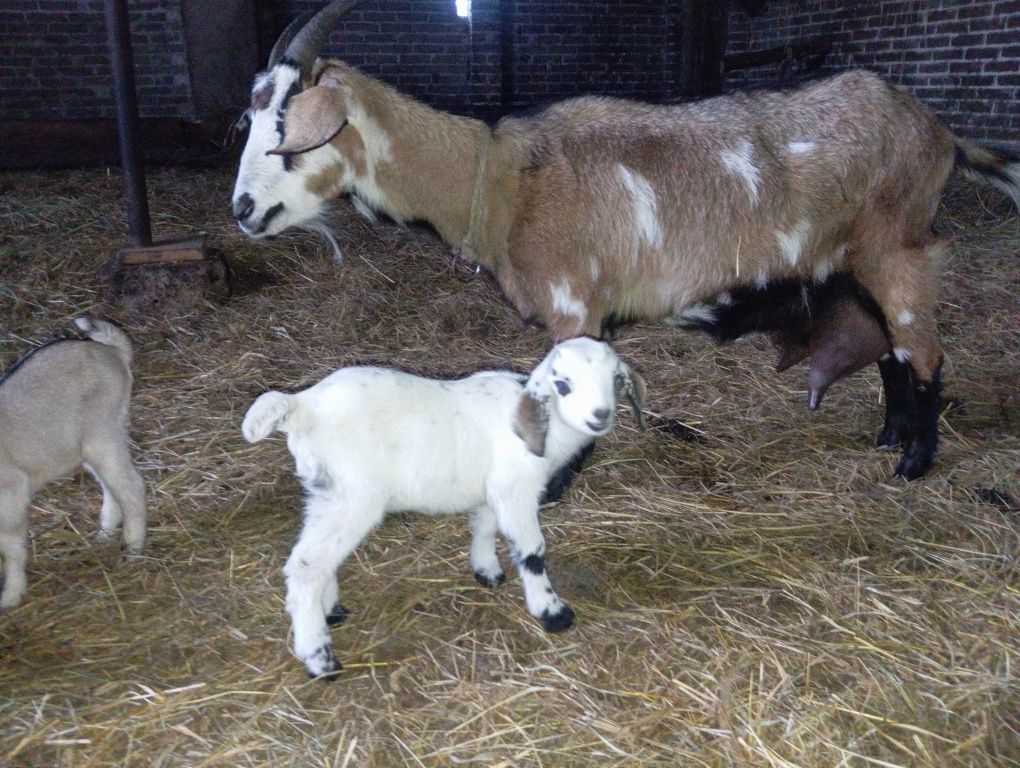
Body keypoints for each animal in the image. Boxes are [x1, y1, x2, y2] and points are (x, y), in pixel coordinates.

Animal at [233, 0, 1020, 479]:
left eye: (289, 129)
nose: (242, 209)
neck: (500, 180)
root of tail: (938, 130)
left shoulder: (574, 307)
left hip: (899, 248)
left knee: (924, 355)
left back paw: (914, 464)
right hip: (855, 262)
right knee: (889, 350)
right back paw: (889, 437)